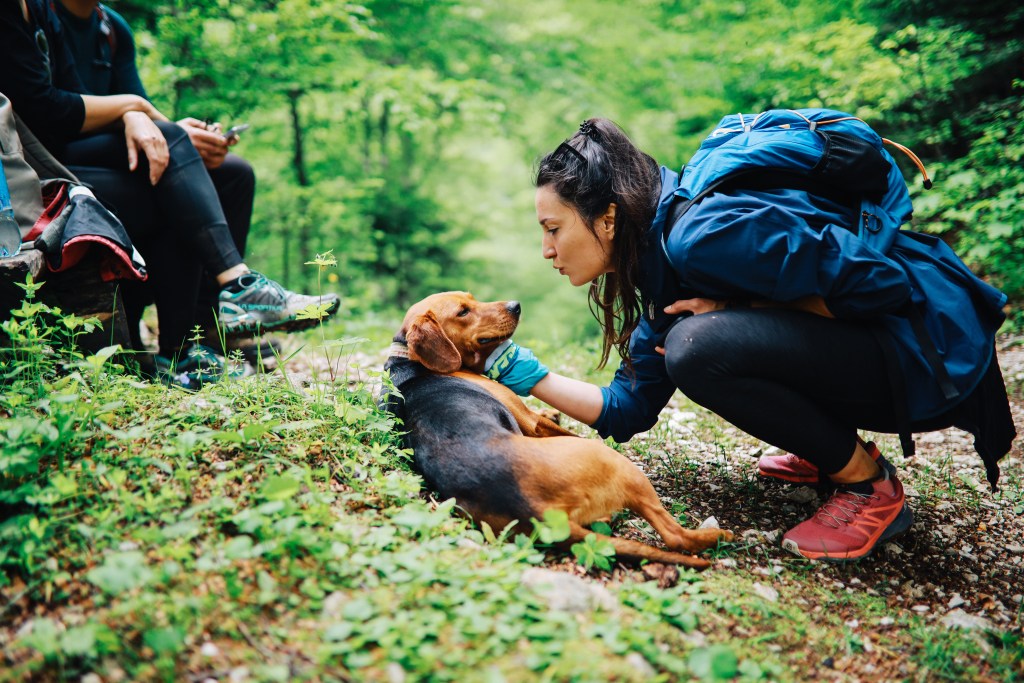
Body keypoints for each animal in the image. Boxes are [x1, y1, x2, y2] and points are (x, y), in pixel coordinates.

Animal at [380, 290, 733, 569]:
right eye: (462, 311)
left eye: (472, 298)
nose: (516, 305)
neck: (409, 362)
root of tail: (537, 511)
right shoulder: (529, 420)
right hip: (618, 466)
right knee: (676, 536)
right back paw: (716, 534)